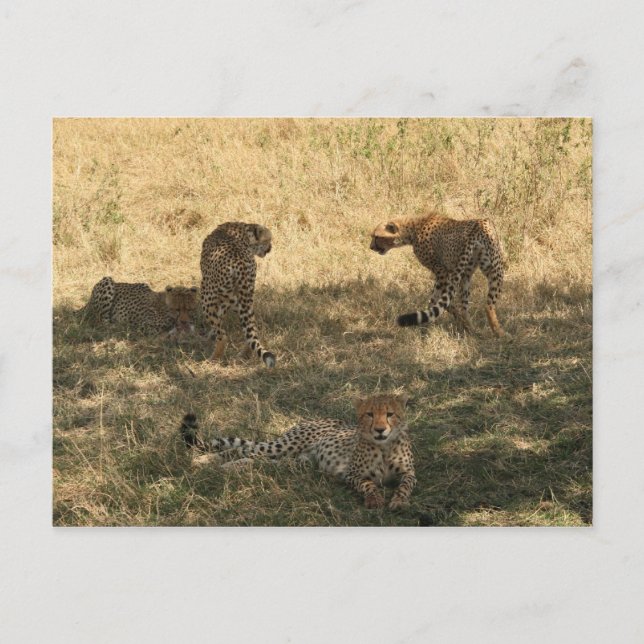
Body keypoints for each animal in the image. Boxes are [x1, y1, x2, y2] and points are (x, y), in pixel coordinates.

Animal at [180, 393, 416, 510]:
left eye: (390, 414)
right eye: (369, 414)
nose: (380, 429)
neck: (384, 447)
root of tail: (312, 419)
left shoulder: (410, 473)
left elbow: (405, 485)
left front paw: (399, 501)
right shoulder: (353, 474)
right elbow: (368, 485)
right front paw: (375, 499)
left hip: (297, 462)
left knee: (257, 459)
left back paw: (231, 467)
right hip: (285, 446)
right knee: (244, 449)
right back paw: (206, 460)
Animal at [200, 221, 275, 367]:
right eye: (267, 240)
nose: (270, 248)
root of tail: (240, 263)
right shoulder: (230, 300)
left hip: (207, 298)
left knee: (223, 336)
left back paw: (213, 359)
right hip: (243, 300)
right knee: (251, 330)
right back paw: (244, 355)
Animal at [370, 212, 505, 337]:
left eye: (376, 236)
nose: (371, 247)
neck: (413, 228)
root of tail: (478, 224)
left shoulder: (442, 271)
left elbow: (437, 299)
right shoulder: (455, 273)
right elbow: (440, 301)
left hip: (495, 268)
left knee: (488, 305)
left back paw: (500, 333)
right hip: (480, 270)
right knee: (471, 305)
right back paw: (474, 329)